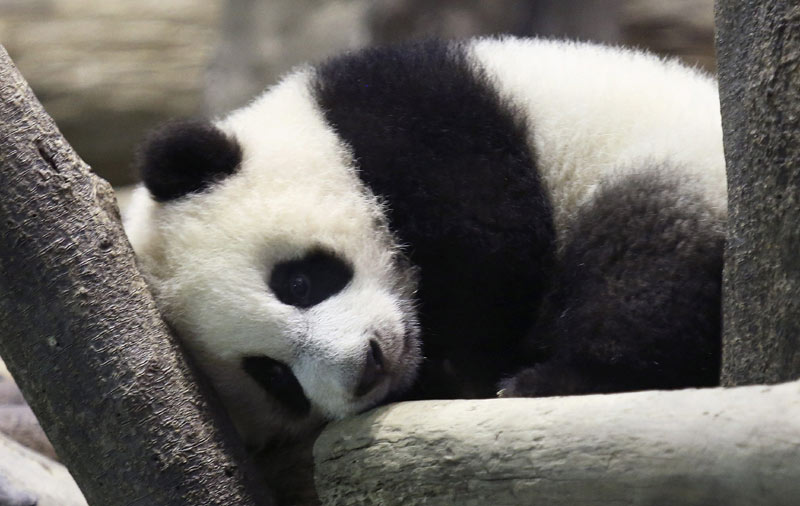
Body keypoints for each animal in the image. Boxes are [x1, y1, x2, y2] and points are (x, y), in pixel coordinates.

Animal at [123, 37, 726, 449]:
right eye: (272, 376)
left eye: (297, 282)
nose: (365, 367)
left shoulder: (425, 124)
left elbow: (493, 249)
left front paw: (465, 370)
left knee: (647, 268)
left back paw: (553, 381)